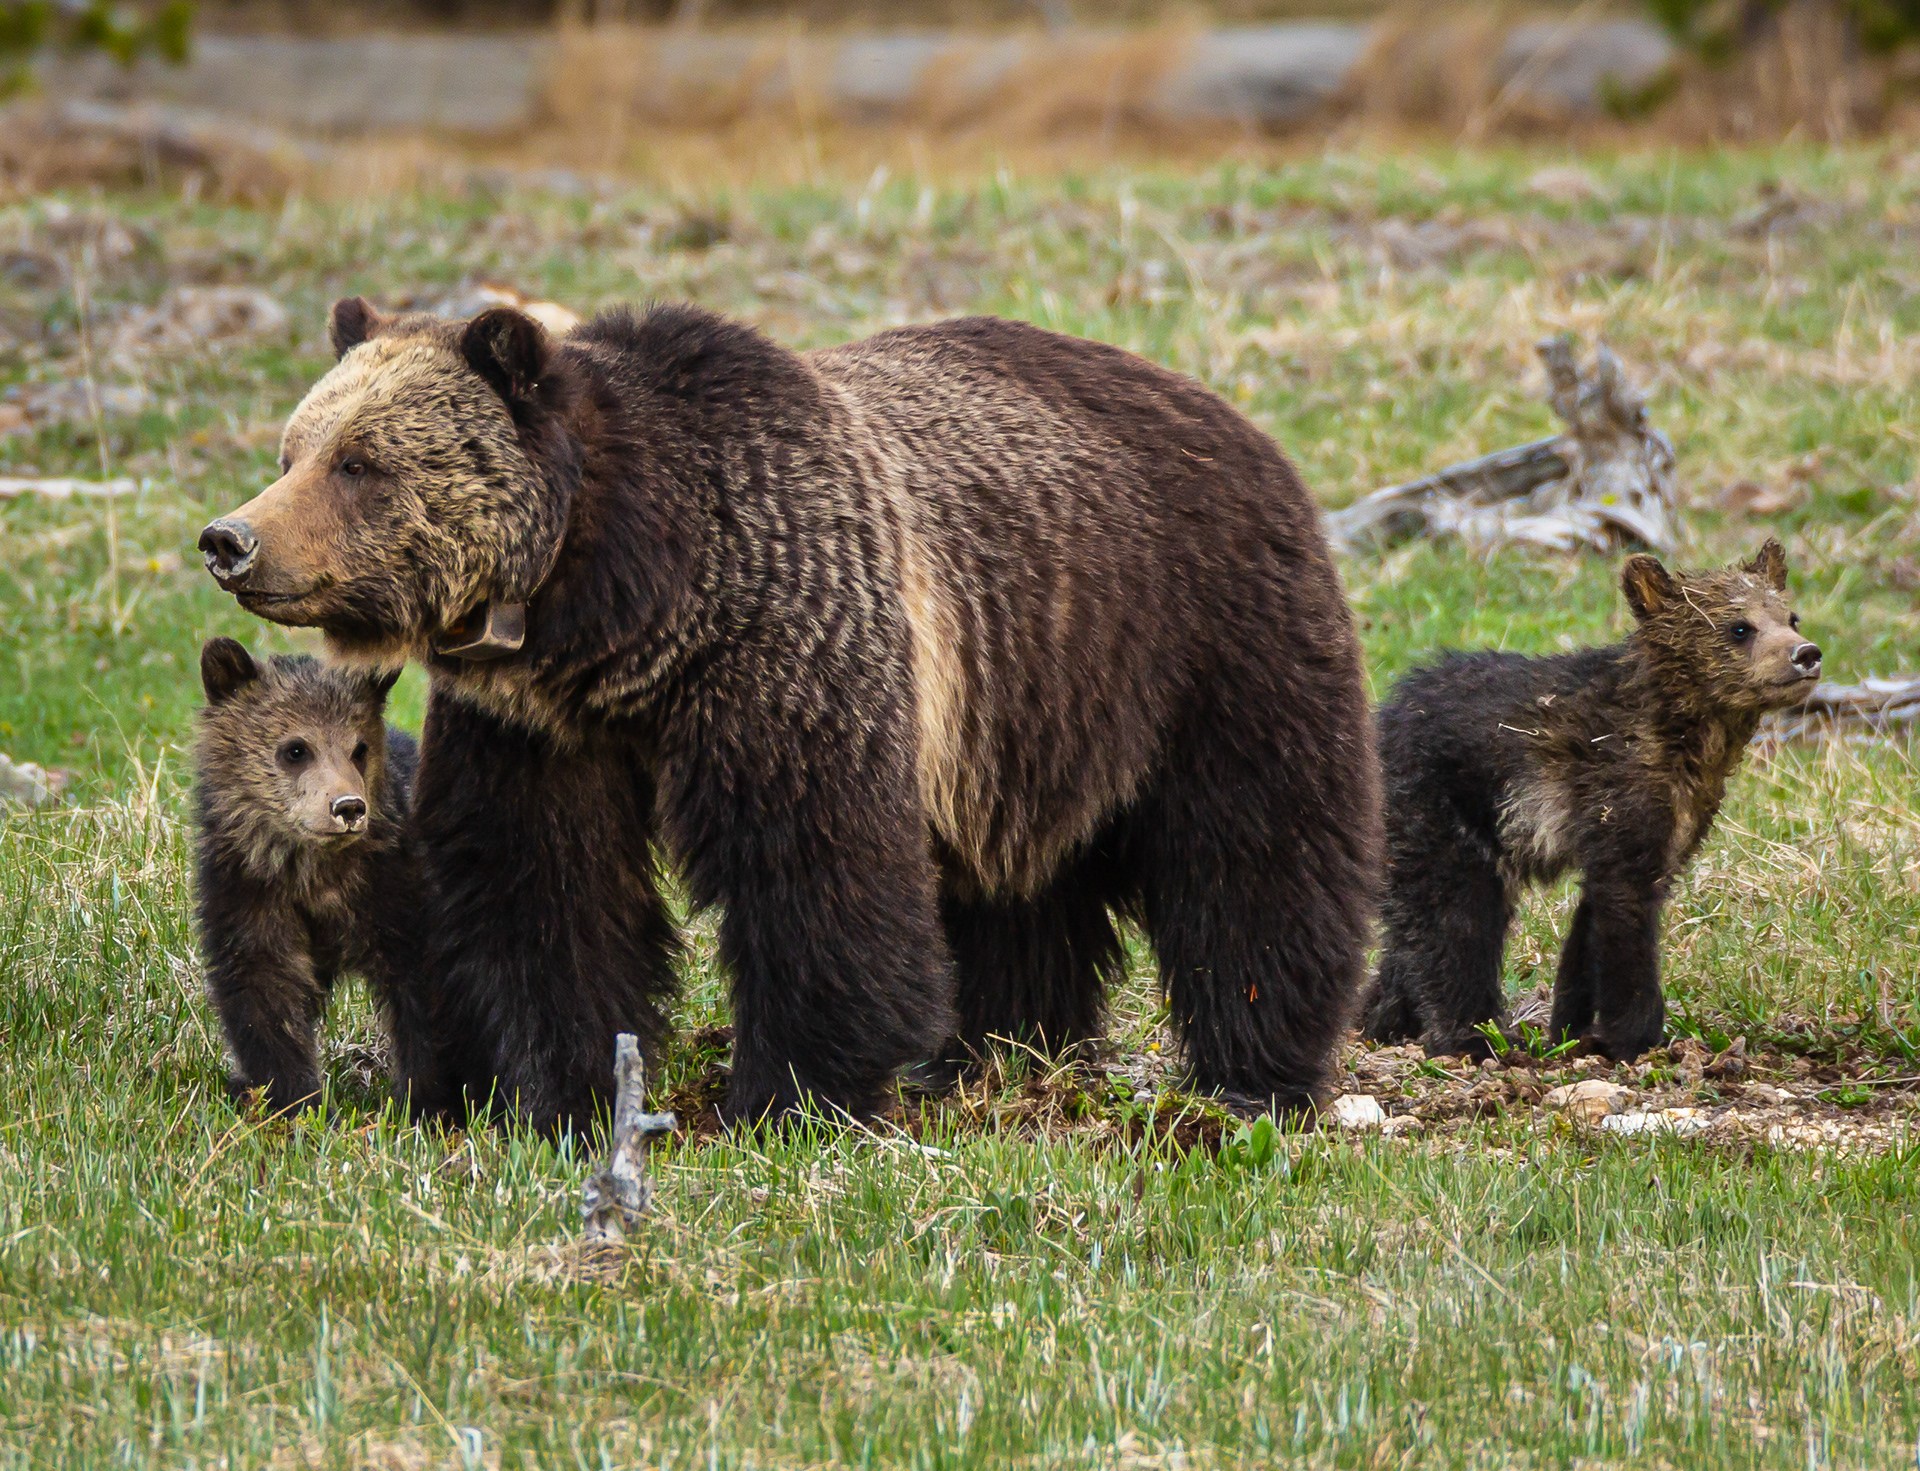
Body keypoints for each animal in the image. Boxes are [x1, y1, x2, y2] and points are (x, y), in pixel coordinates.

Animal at [194, 637, 429, 1113]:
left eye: (359, 748)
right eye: (296, 749)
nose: (348, 807)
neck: (312, 873)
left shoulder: (393, 890)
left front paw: (425, 1100)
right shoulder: (248, 892)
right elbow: (266, 997)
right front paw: (295, 1098)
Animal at [1361, 539, 1820, 1062]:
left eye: (1791, 616)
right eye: (1739, 627)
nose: (1806, 654)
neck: (1686, 733)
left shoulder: (1678, 812)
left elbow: (1595, 917)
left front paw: (1572, 1025)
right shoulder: (1618, 790)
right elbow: (1625, 910)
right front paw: (1632, 1032)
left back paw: (1384, 1017)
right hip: (1438, 806)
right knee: (1456, 916)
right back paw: (1470, 1034)